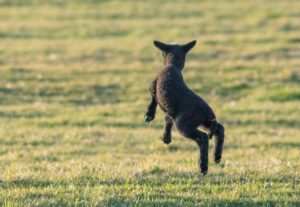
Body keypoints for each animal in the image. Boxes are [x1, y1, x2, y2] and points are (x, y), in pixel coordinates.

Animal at [145, 39, 225, 174]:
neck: (173, 65)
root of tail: (206, 112)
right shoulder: (171, 111)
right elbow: (167, 119)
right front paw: (166, 137)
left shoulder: (153, 87)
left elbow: (153, 100)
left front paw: (149, 114)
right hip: (204, 122)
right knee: (219, 129)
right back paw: (216, 156)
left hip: (184, 124)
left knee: (203, 138)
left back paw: (203, 166)